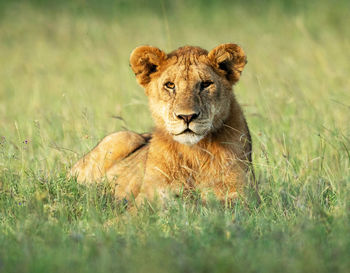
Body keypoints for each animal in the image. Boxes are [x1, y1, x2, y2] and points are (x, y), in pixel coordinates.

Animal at [69, 42, 254, 204]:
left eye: (206, 84)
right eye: (170, 85)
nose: (187, 117)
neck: (193, 153)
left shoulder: (243, 196)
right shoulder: (149, 195)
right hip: (125, 137)